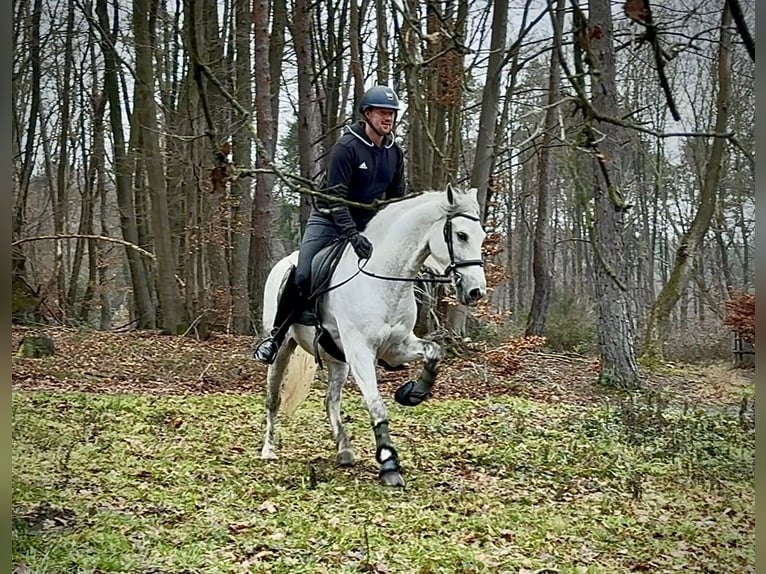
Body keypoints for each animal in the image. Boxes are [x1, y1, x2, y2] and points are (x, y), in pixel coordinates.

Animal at [259, 184, 487, 487]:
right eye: (461, 235)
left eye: (482, 236)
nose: (476, 292)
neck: (384, 279)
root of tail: (284, 261)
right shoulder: (361, 352)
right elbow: (376, 404)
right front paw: (389, 463)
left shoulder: (397, 347)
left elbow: (434, 352)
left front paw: (413, 393)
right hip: (283, 349)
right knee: (273, 397)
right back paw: (268, 450)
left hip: (337, 359)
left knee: (330, 400)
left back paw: (344, 450)